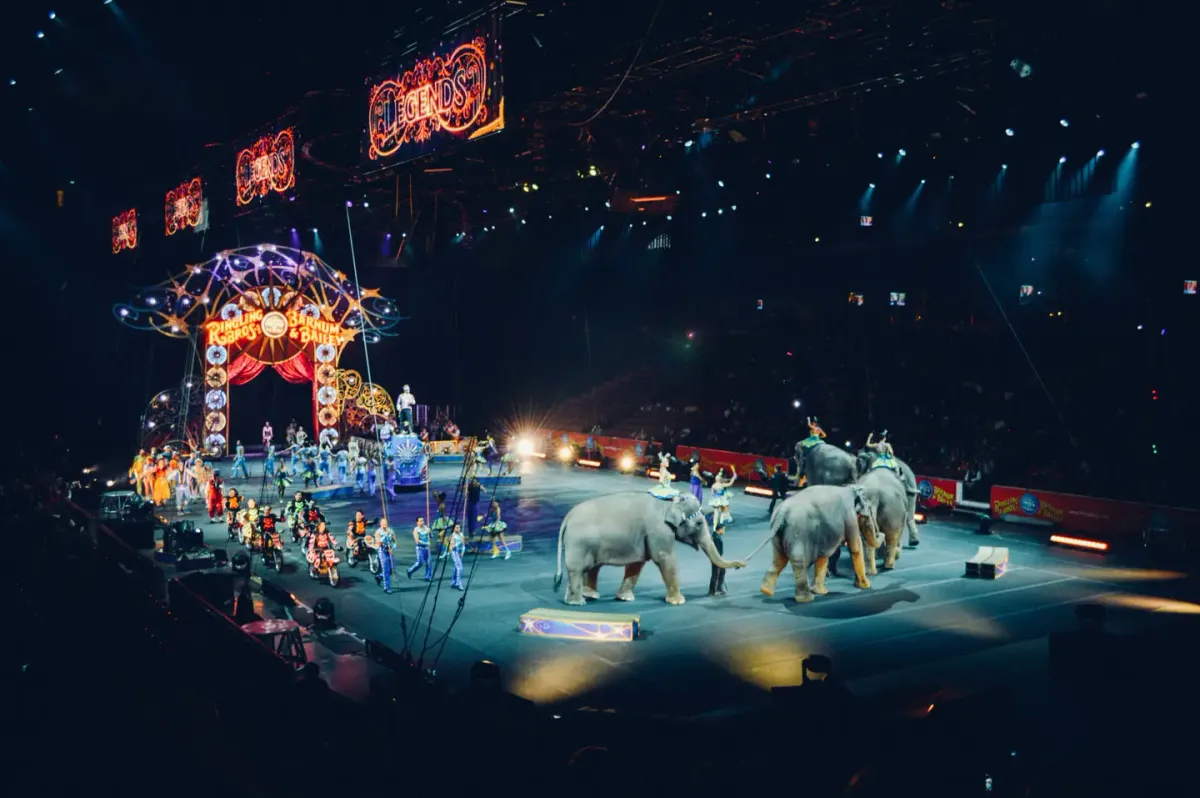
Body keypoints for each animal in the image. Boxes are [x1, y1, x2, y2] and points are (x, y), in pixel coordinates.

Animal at [556, 492, 744, 604]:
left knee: (591, 567)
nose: (741, 565)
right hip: (579, 543)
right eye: (699, 523)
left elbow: (637, 563)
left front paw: (625, 598)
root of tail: (567, 517)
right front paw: (678, 601)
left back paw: (586, 596)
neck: (668, 503)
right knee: (578, 569)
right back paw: (578, 602)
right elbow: (665, 558)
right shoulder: (659, 531)